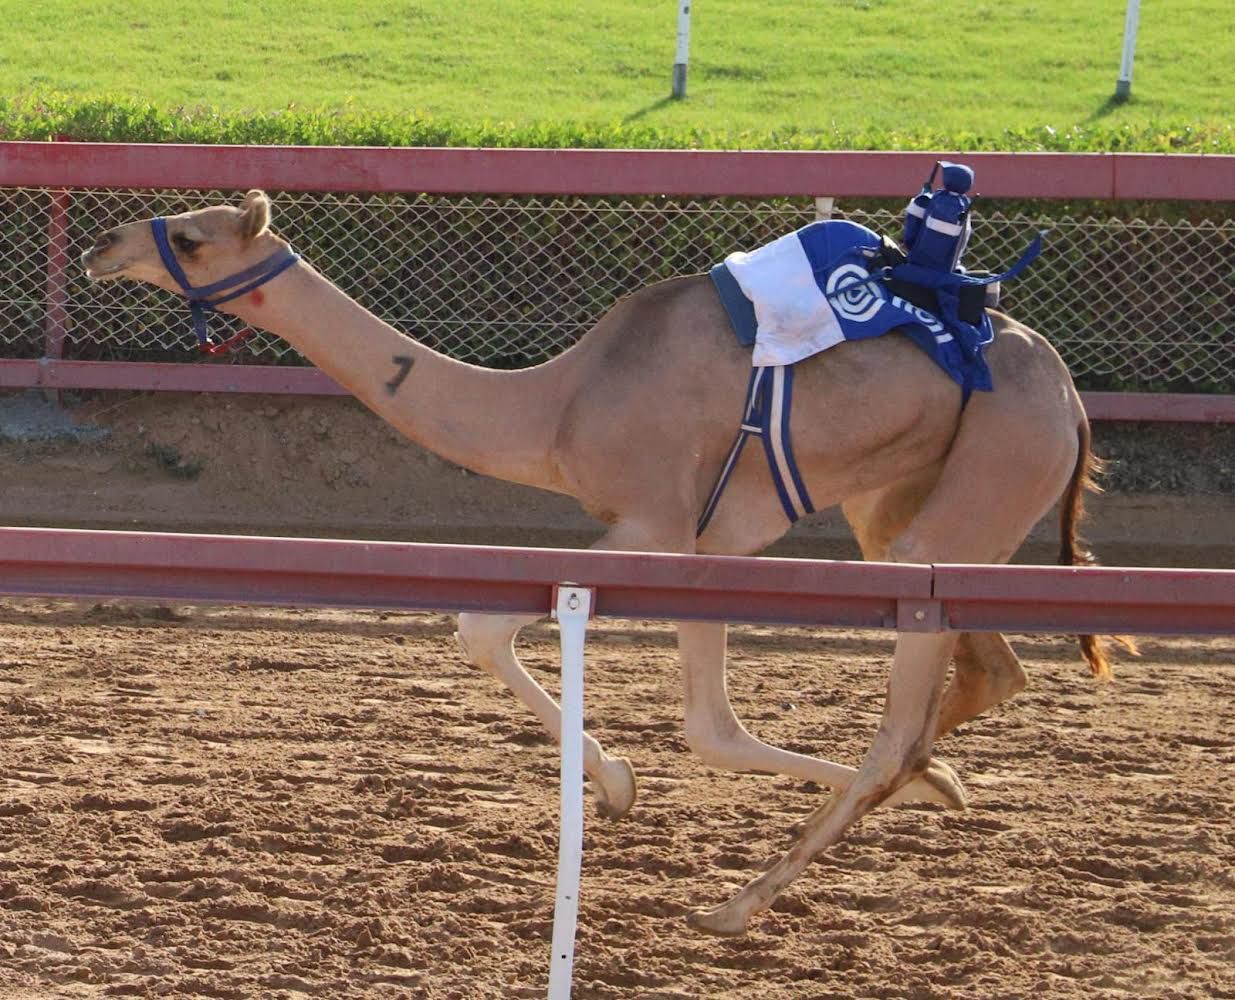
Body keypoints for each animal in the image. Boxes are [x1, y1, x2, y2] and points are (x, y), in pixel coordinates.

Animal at [82, 188, 1126, 933]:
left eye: (193, 235)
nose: (105, 243)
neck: (557, 405)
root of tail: (1071, 400)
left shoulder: (654, 522)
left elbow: (486, 627)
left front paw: (615, 787)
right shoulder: (712, 539)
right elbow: (708, 726)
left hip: (984, 478)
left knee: (902, 721)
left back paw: (742, 902)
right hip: (909, 505)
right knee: (990, 670)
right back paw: (930, 784)